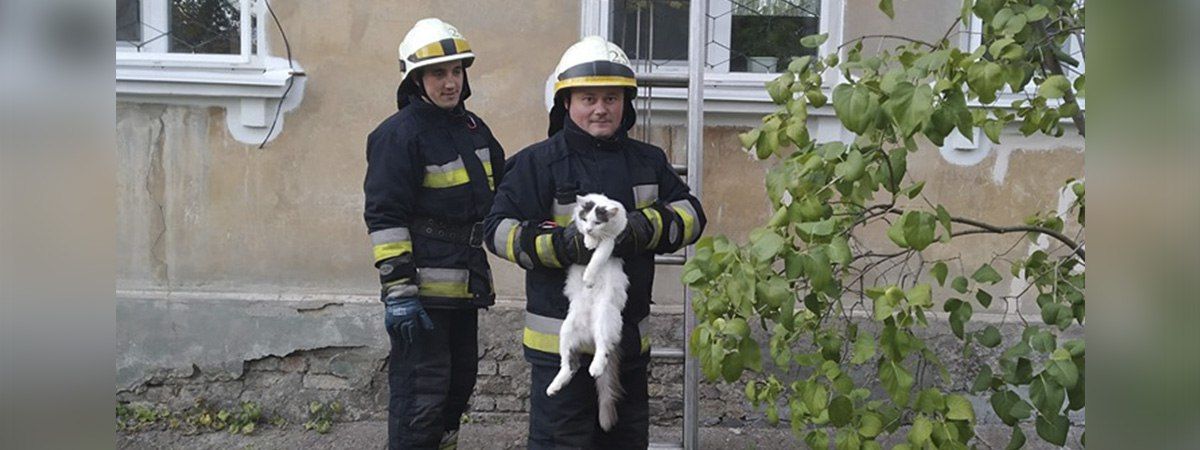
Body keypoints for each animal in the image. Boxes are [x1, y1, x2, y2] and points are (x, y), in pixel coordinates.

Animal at [547, 192, 633, 432]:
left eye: (597, 222)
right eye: (585, 219)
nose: (589, 230)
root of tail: (589, 336)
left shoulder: (612, 241)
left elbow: (597, 258)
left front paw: (588, 277)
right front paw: (585, 240)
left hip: (603, 320)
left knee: (603, 350)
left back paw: (595, 367)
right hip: (566, 330)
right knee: (569, 365)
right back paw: (554, 386)